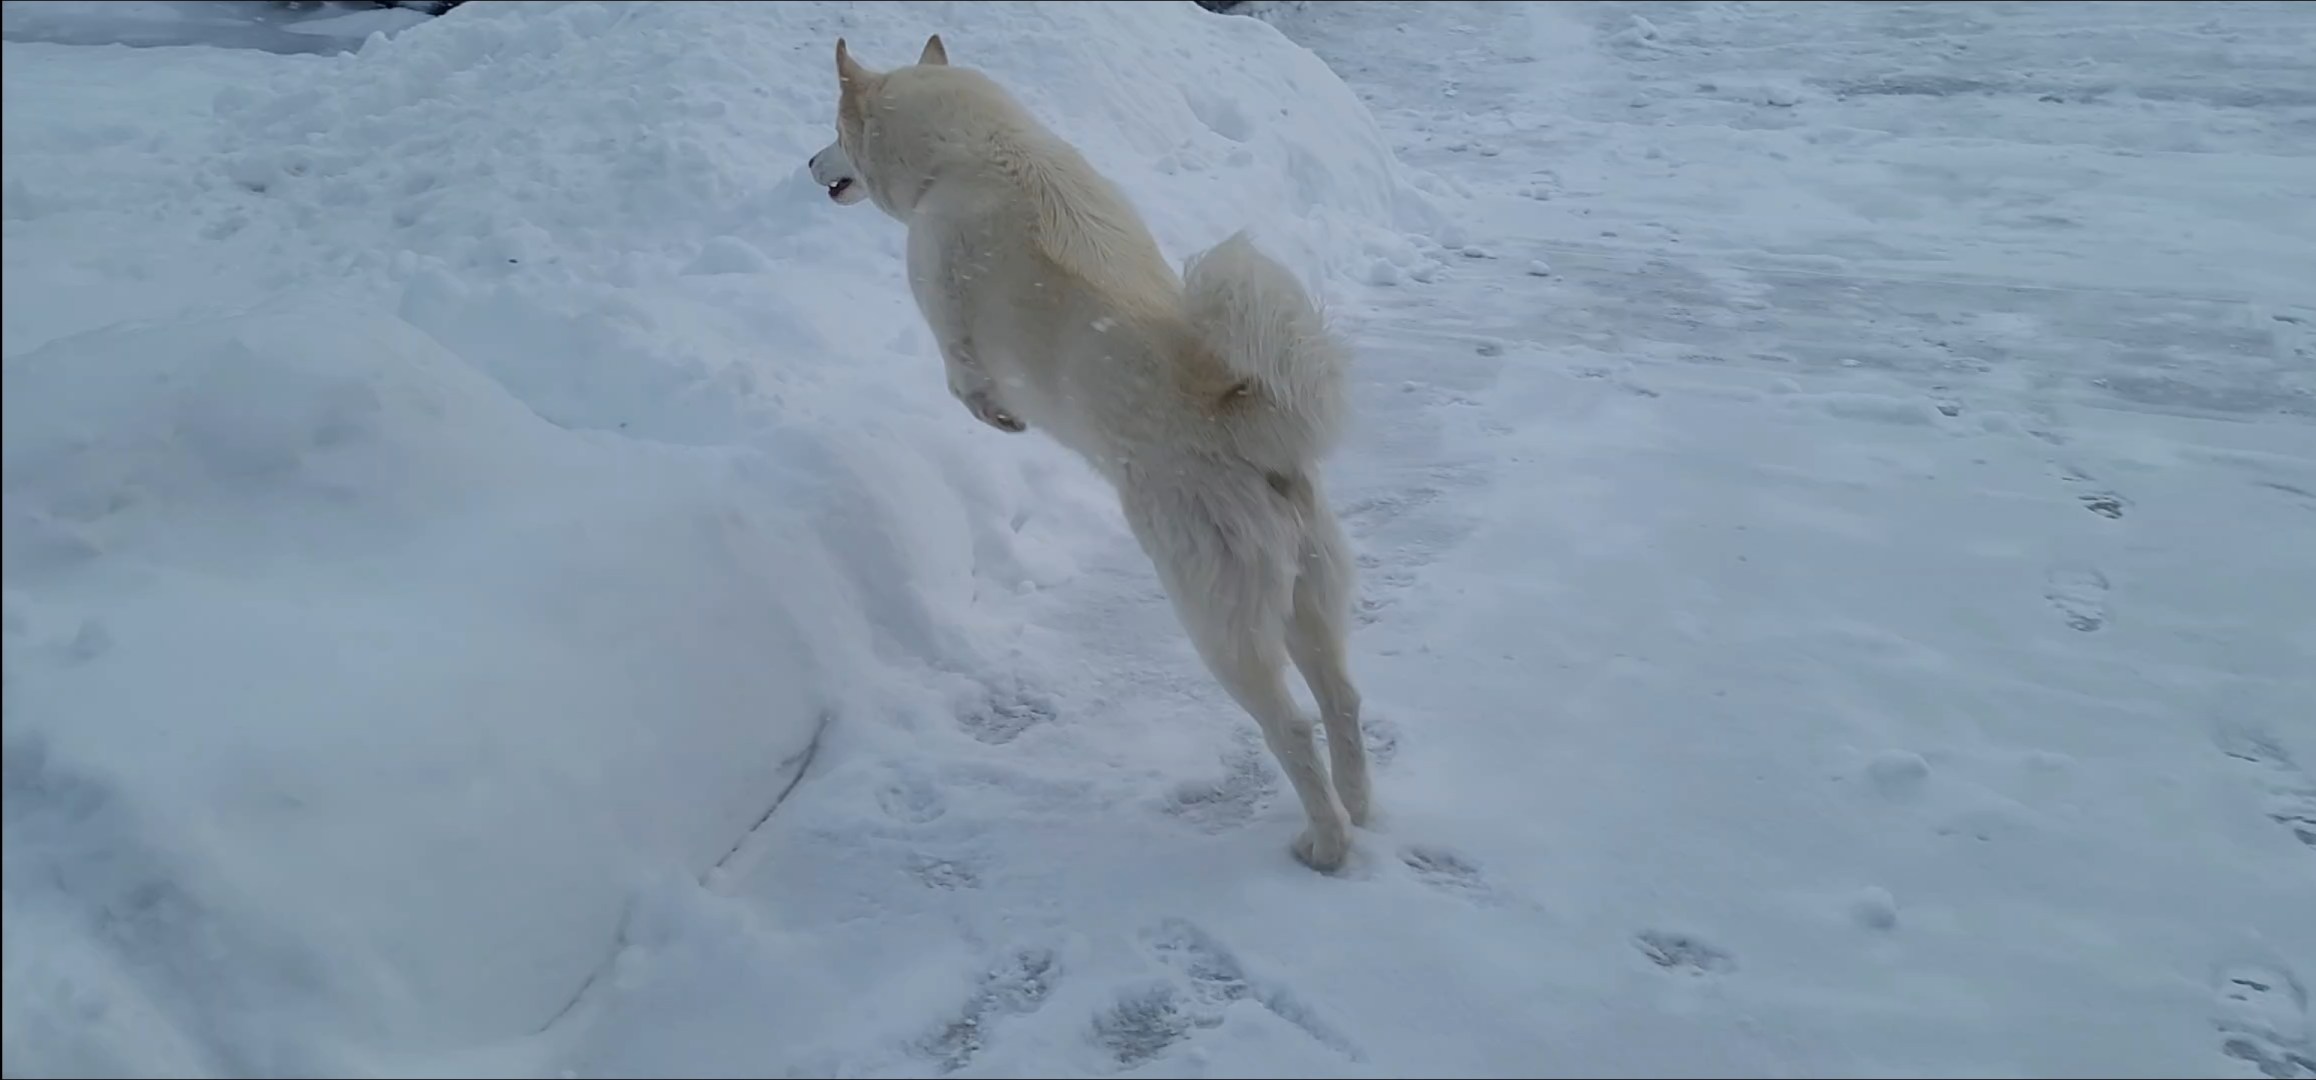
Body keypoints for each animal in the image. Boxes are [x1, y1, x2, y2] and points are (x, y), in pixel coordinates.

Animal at [810, 37, 1361, 871]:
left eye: (833, 129)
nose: (809, 163)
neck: (971, 150)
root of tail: (1243, 422)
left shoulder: (943, 302)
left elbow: (960, 377)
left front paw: (998, 416)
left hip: (1217, 619)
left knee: (1291, 726)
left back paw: (1326, 844)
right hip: (1309, 594)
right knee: (1342, 699)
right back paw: (1363, 810)